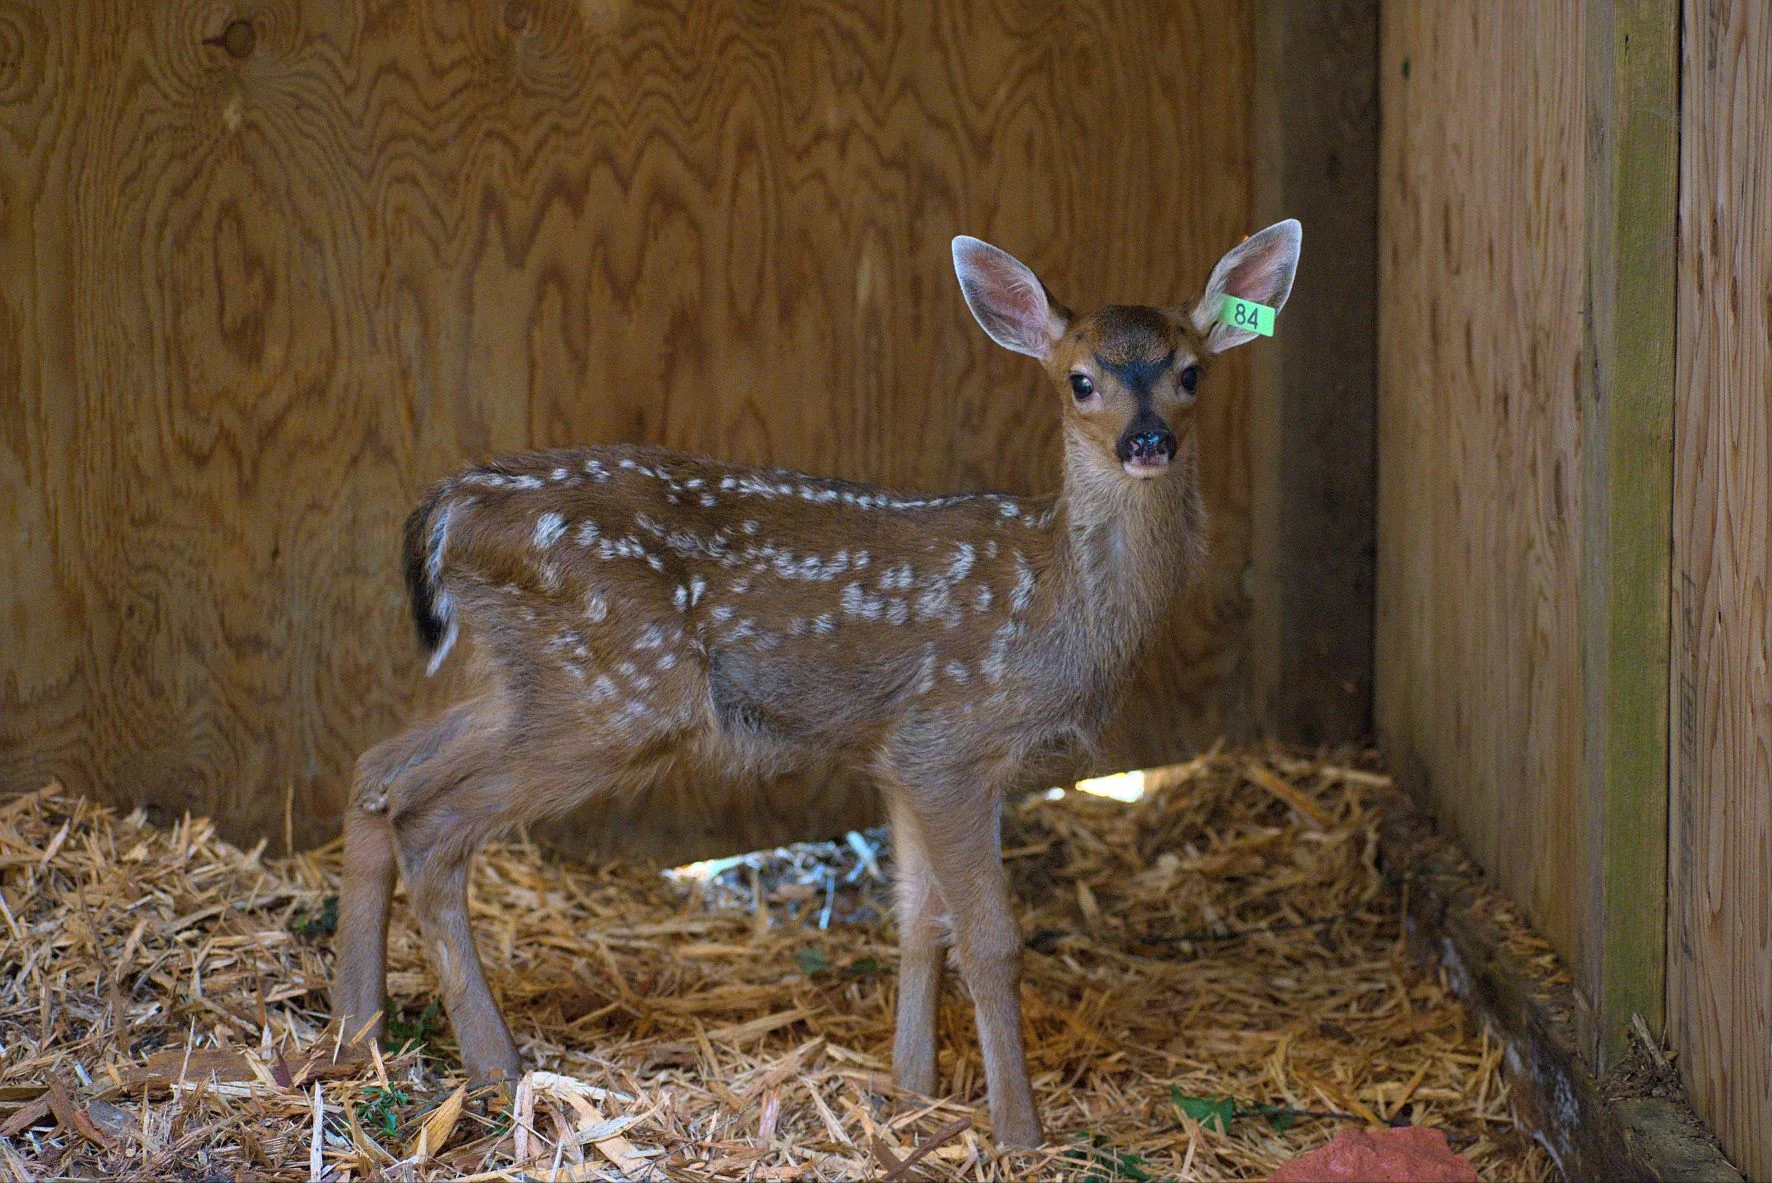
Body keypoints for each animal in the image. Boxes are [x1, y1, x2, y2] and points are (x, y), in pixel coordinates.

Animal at [330, 220, 1301, 1148]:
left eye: (1191, 372)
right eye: (1081, 381)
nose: (1149, 441)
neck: (1058, 603)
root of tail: (449, 507)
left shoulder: (903, 754)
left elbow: (918, 921)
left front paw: (911, 1089)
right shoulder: (951, 737)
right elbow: (989, 938)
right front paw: (1020, 1134)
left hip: (528, 676)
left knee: (380, 769)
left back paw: (356, 1036)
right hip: (617, 688)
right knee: (432, 822)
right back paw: (495, 1067)